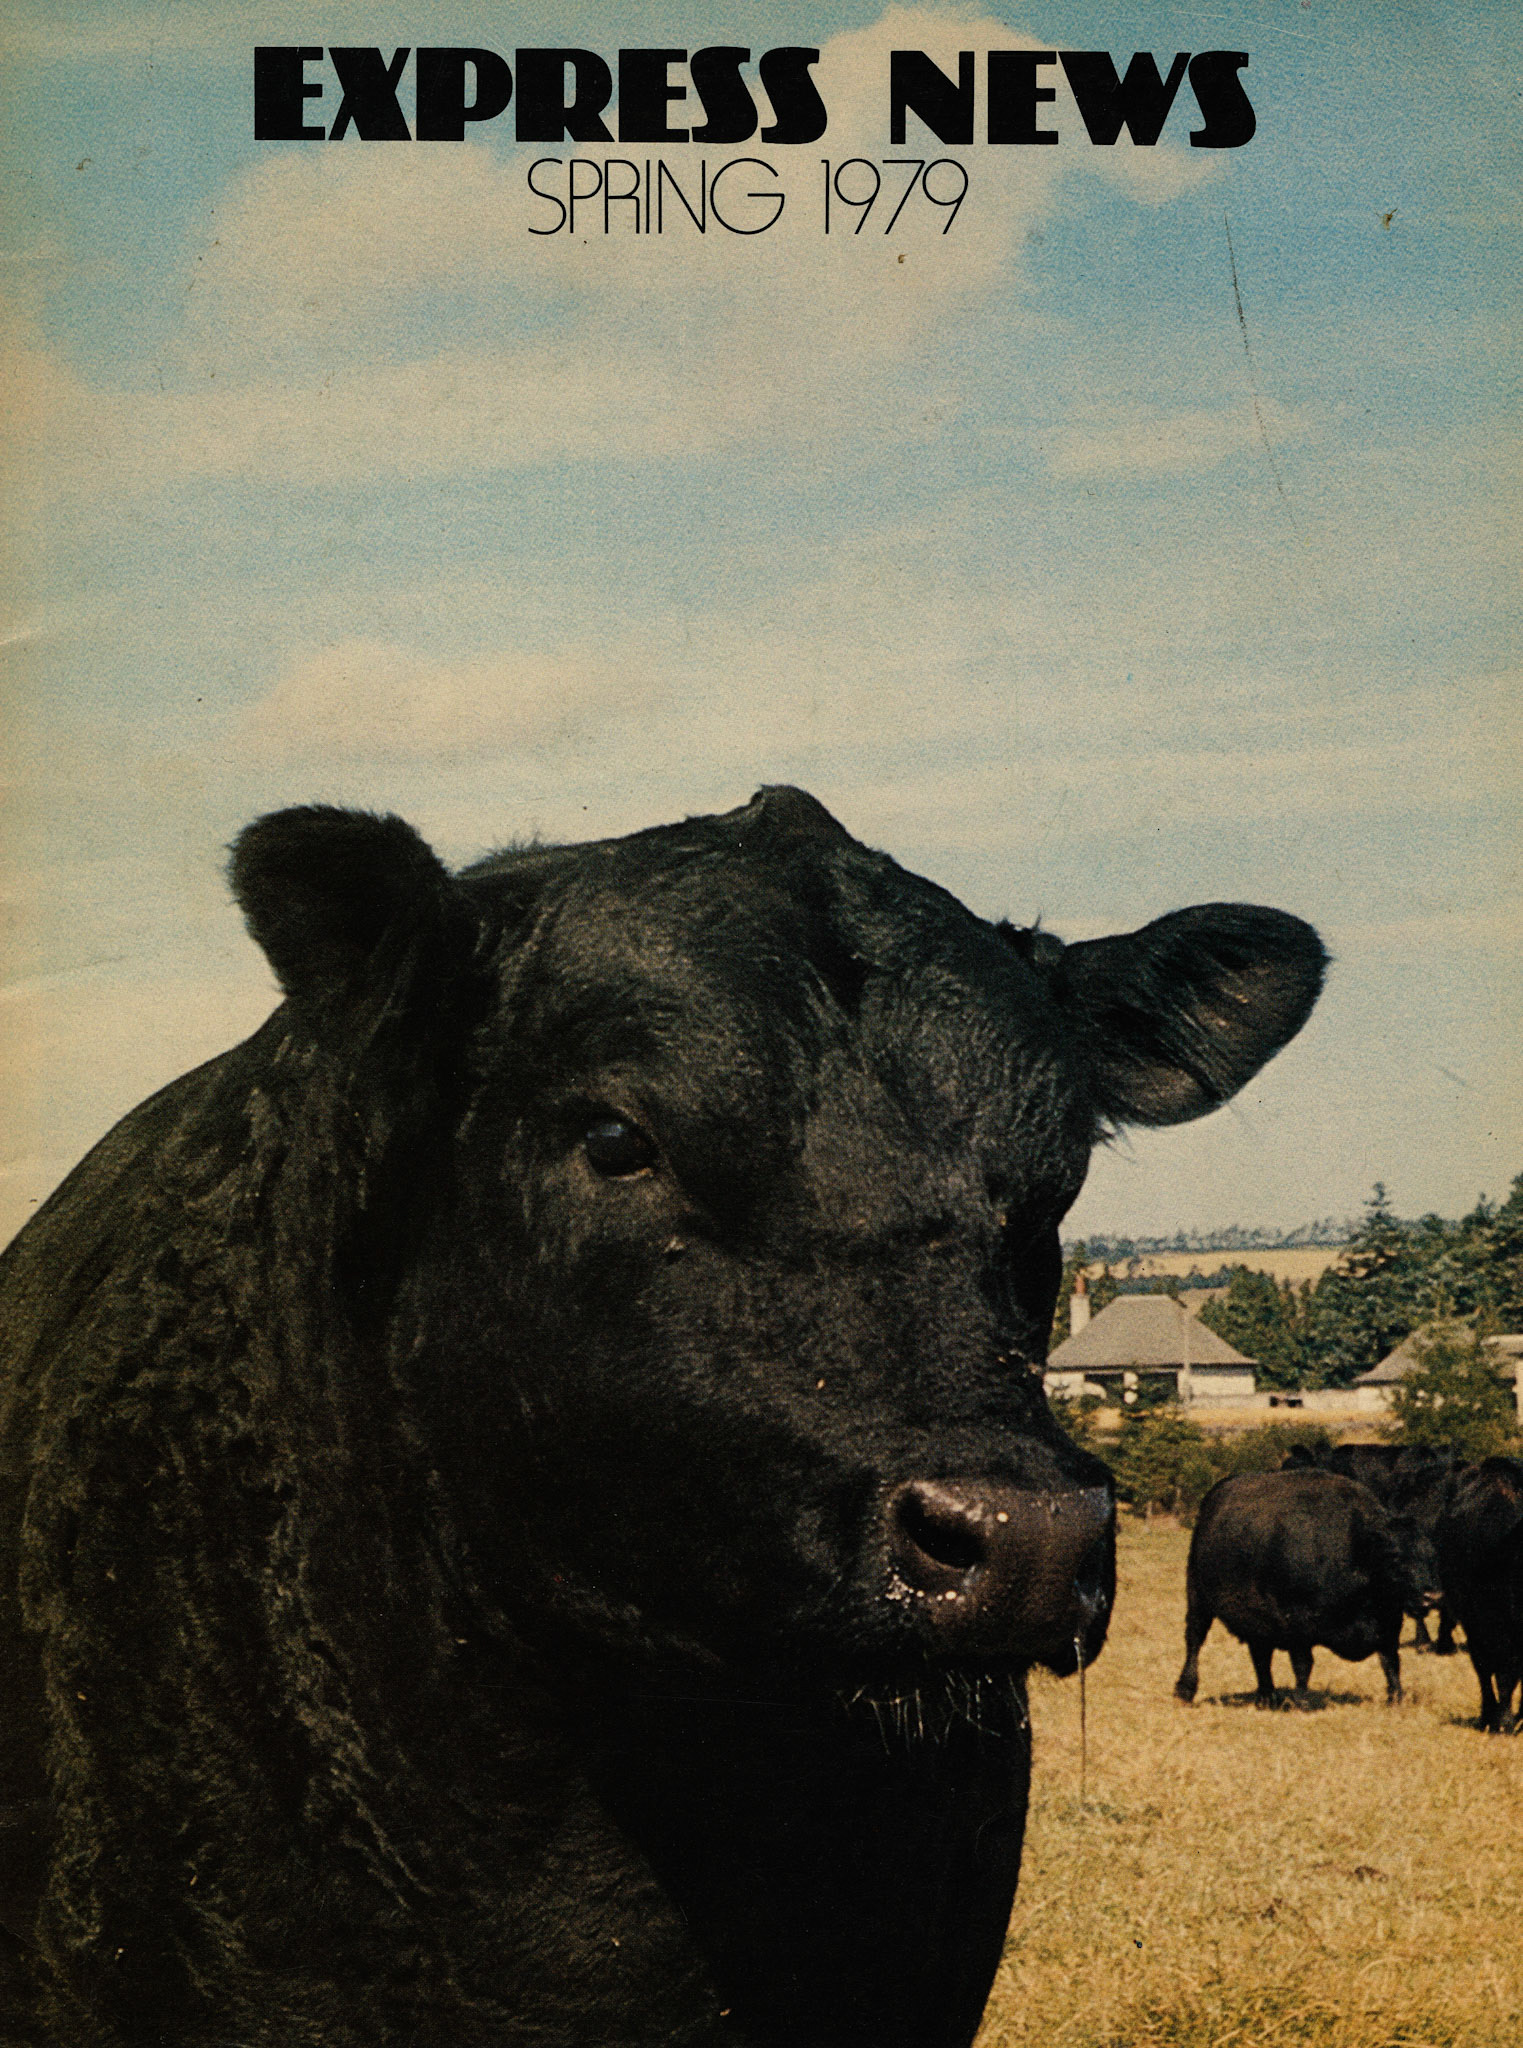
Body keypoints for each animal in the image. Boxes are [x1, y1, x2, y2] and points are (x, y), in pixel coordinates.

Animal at [1175, 1468, 1437, 1708]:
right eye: (1395, 1557)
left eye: (1429, 1554)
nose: (1431, 1595)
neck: (1357, 1547)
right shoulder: (1298, 1623)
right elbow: (1303, 1664)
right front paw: (1301, 1701)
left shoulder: (1389, 1622)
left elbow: (1390, 1661)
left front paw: (1397, 1699)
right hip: (1198, 1599)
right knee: (1195, 1640)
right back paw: (1185, 1691)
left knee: (1260, 1654)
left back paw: (1267, 1696)